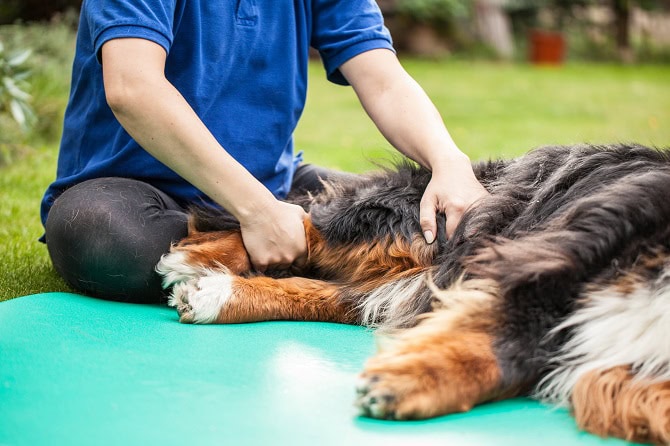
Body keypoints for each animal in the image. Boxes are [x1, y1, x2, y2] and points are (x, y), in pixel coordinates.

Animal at [156, 145, 670, 444]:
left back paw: (215, 293)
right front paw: (410, 379)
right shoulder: (554, 259)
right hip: (427, 225)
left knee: (335, 293)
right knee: (303, 223)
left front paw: (413, 380)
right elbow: (507, 342)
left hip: (421, 275)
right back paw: (198, 258)